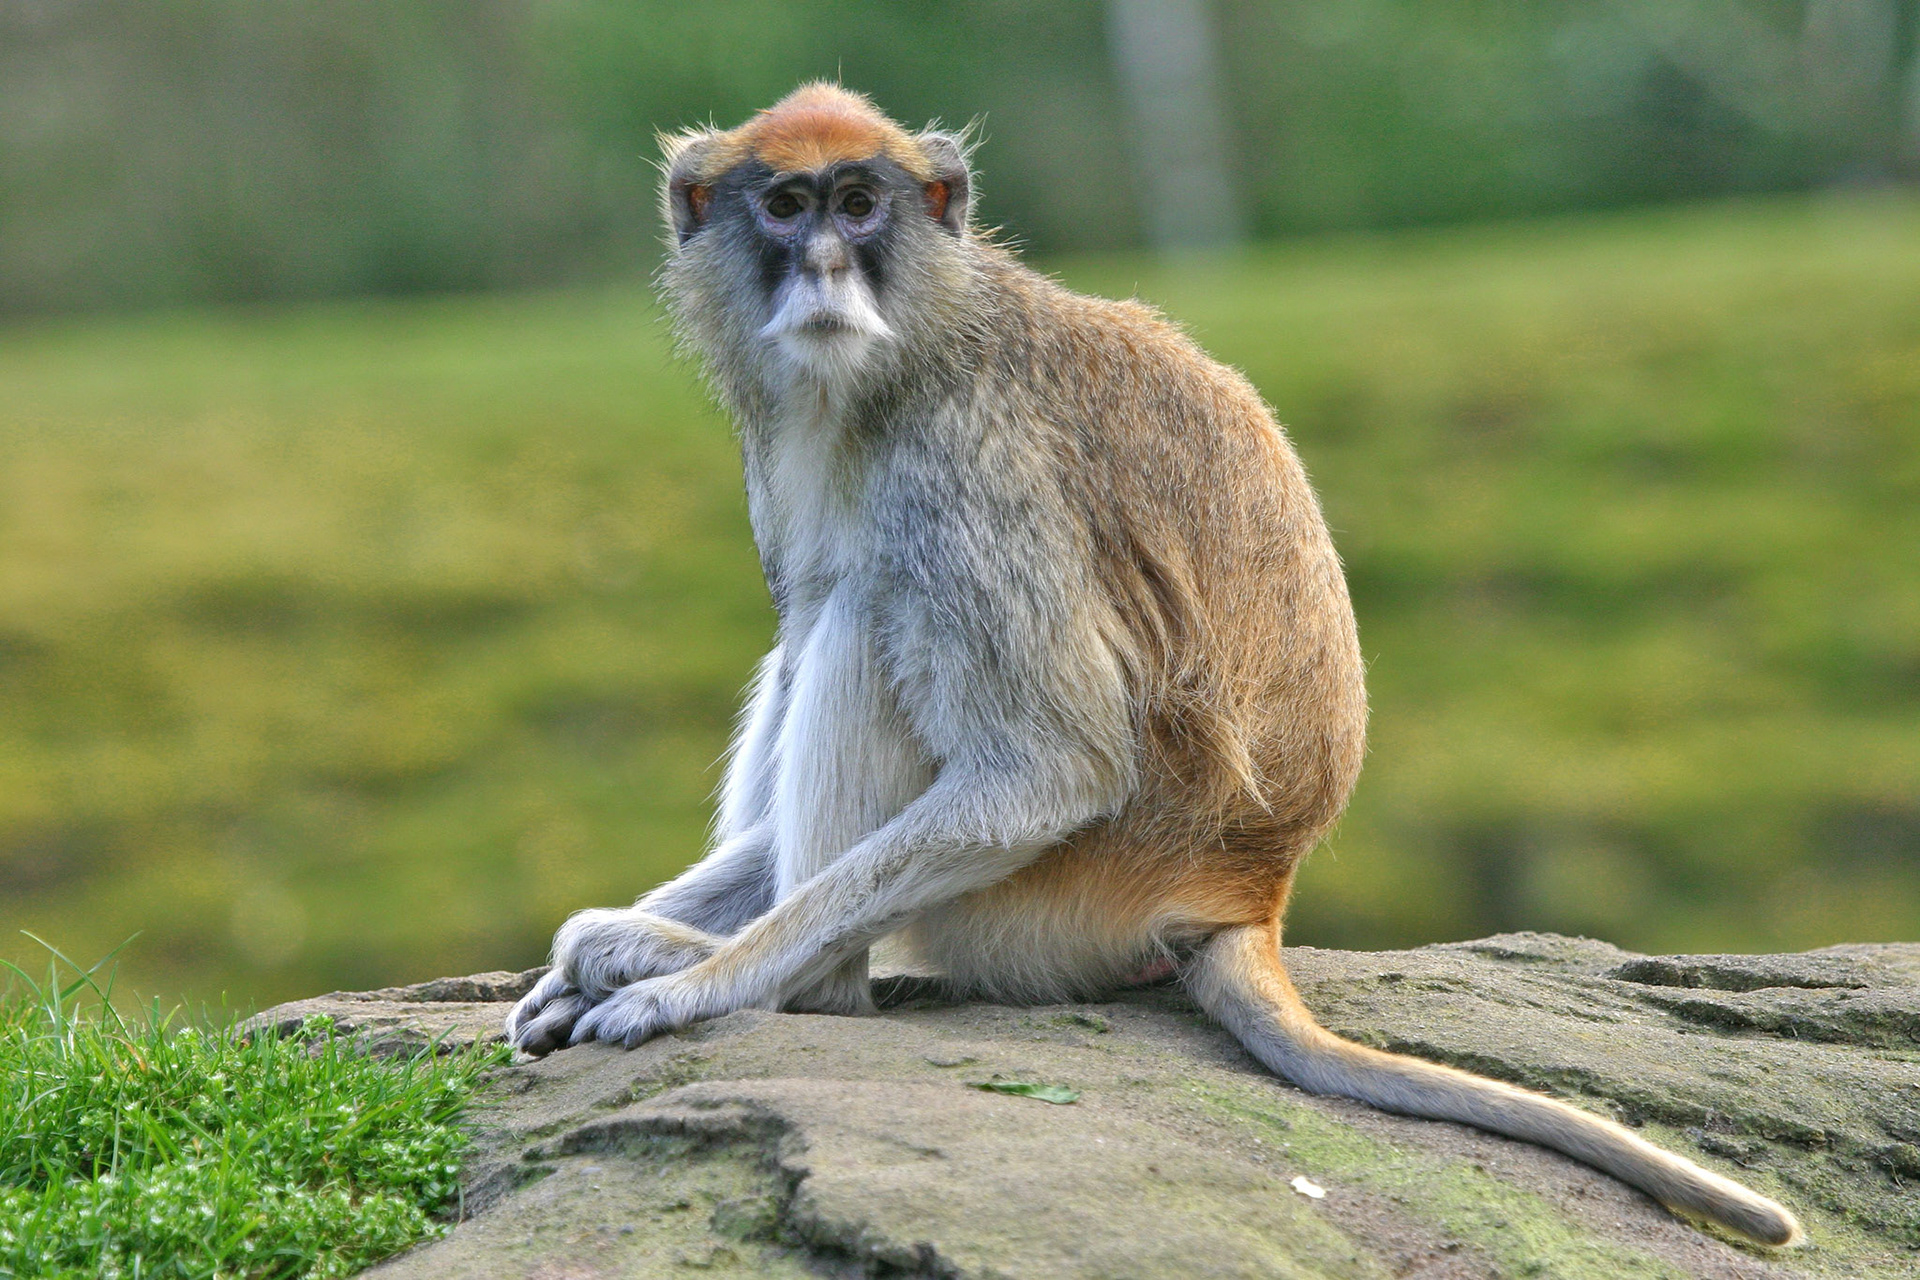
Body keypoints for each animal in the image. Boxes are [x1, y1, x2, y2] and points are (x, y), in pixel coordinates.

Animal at [505, 83, 1802, 1248]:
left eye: (861, 203)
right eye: (784, 206)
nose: (825, 265)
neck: (918, 342)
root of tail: (1246, 887)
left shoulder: (971, 464)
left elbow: (1050, 768)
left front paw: (691, 980)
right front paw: (600, 946)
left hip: (1060, 893)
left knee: (869, 614)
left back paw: (784, 980)